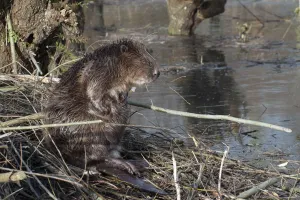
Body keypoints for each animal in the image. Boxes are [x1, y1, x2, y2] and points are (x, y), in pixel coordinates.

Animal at [44, 38, 159, 173]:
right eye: (145, 61)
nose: (157, 73)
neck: (116, 61)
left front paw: (122, 99)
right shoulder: (100, 69)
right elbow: (94, 89)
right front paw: (105, 110)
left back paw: (136, 163)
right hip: (88, 137)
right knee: (96, 158)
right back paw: (127, 165)